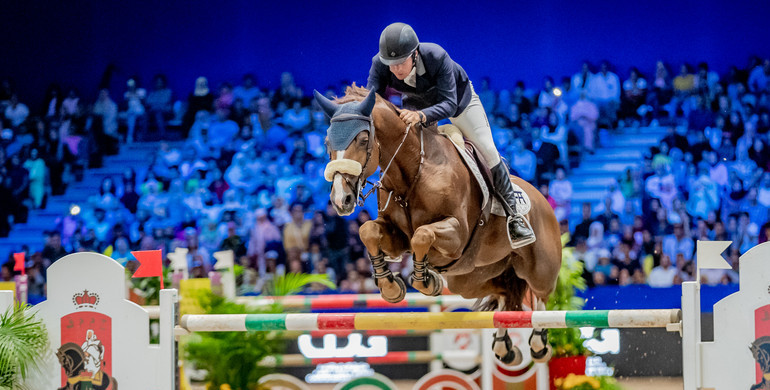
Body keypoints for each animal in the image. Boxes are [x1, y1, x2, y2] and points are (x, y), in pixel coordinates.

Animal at [316, 85, 560, 366]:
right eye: (327, 142)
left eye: (363, 140)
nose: (340, 200)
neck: (414, 172)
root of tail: (541, 198)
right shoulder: (397, 236)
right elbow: (369, 231)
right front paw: (390, 286)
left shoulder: (457, 234)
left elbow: (422, 235)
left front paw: (426, 280)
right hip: (469, 277)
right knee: (504, 293)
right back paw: (504, 347)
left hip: (538, 268)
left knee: (540, 296)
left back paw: (539, 344)